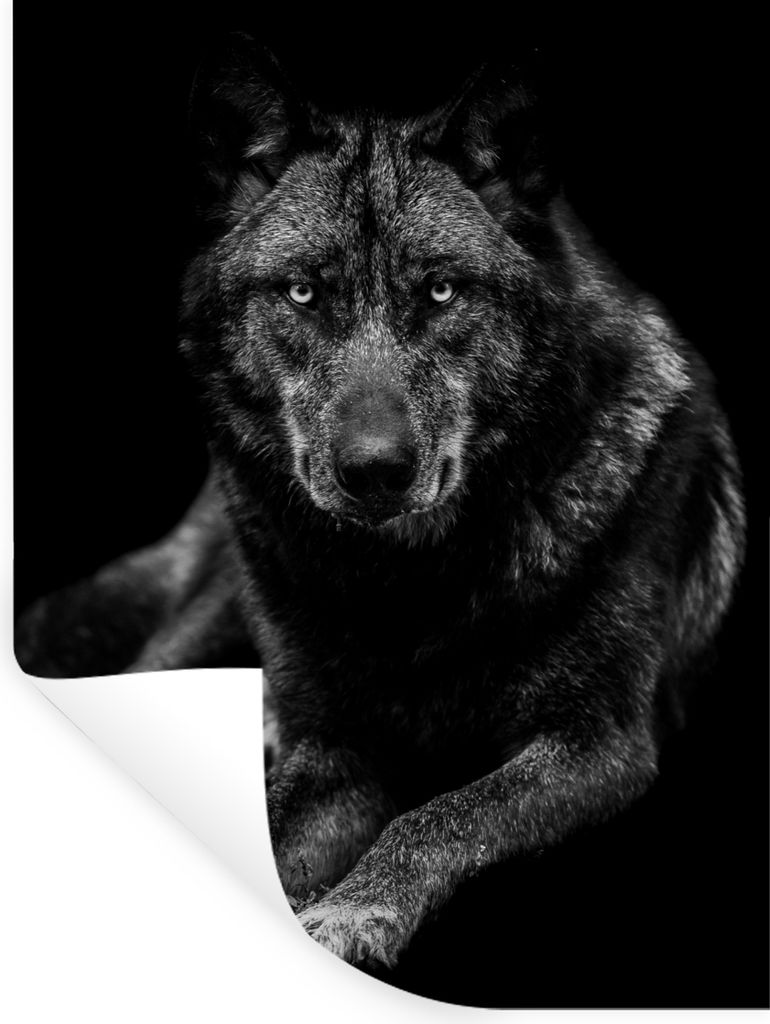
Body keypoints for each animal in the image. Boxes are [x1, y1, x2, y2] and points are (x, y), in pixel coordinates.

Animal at [16, 37, 745, 970]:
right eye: (302, 293)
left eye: (440, 292)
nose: (375, 470)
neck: (407, 590)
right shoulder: (335, 746)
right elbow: (282, 811)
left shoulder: (600, 743)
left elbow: (443, 813)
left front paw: (354, 910)